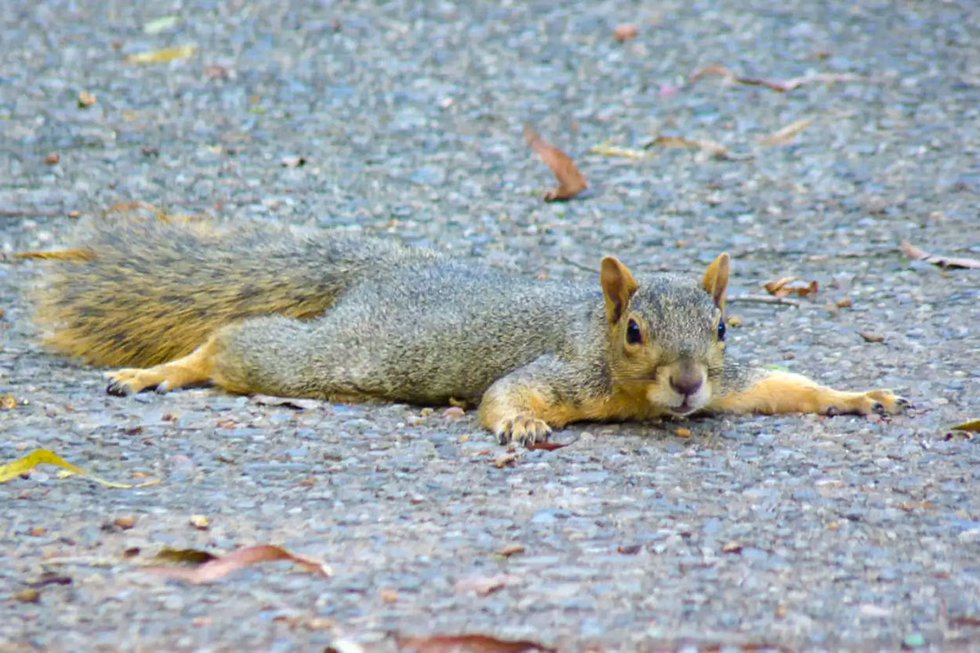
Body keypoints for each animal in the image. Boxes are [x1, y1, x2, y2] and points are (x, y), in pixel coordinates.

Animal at [32, 216, 912, 446]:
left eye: (724, 325)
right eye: (633, 330)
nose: (690, 383)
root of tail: (386, 269)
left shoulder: (736, 382)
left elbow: (783, 386)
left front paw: (857, 395)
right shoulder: (565, 369)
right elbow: (505, 391)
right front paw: (519, 424)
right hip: (337, 358)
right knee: (234, 344)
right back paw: (160, 371)